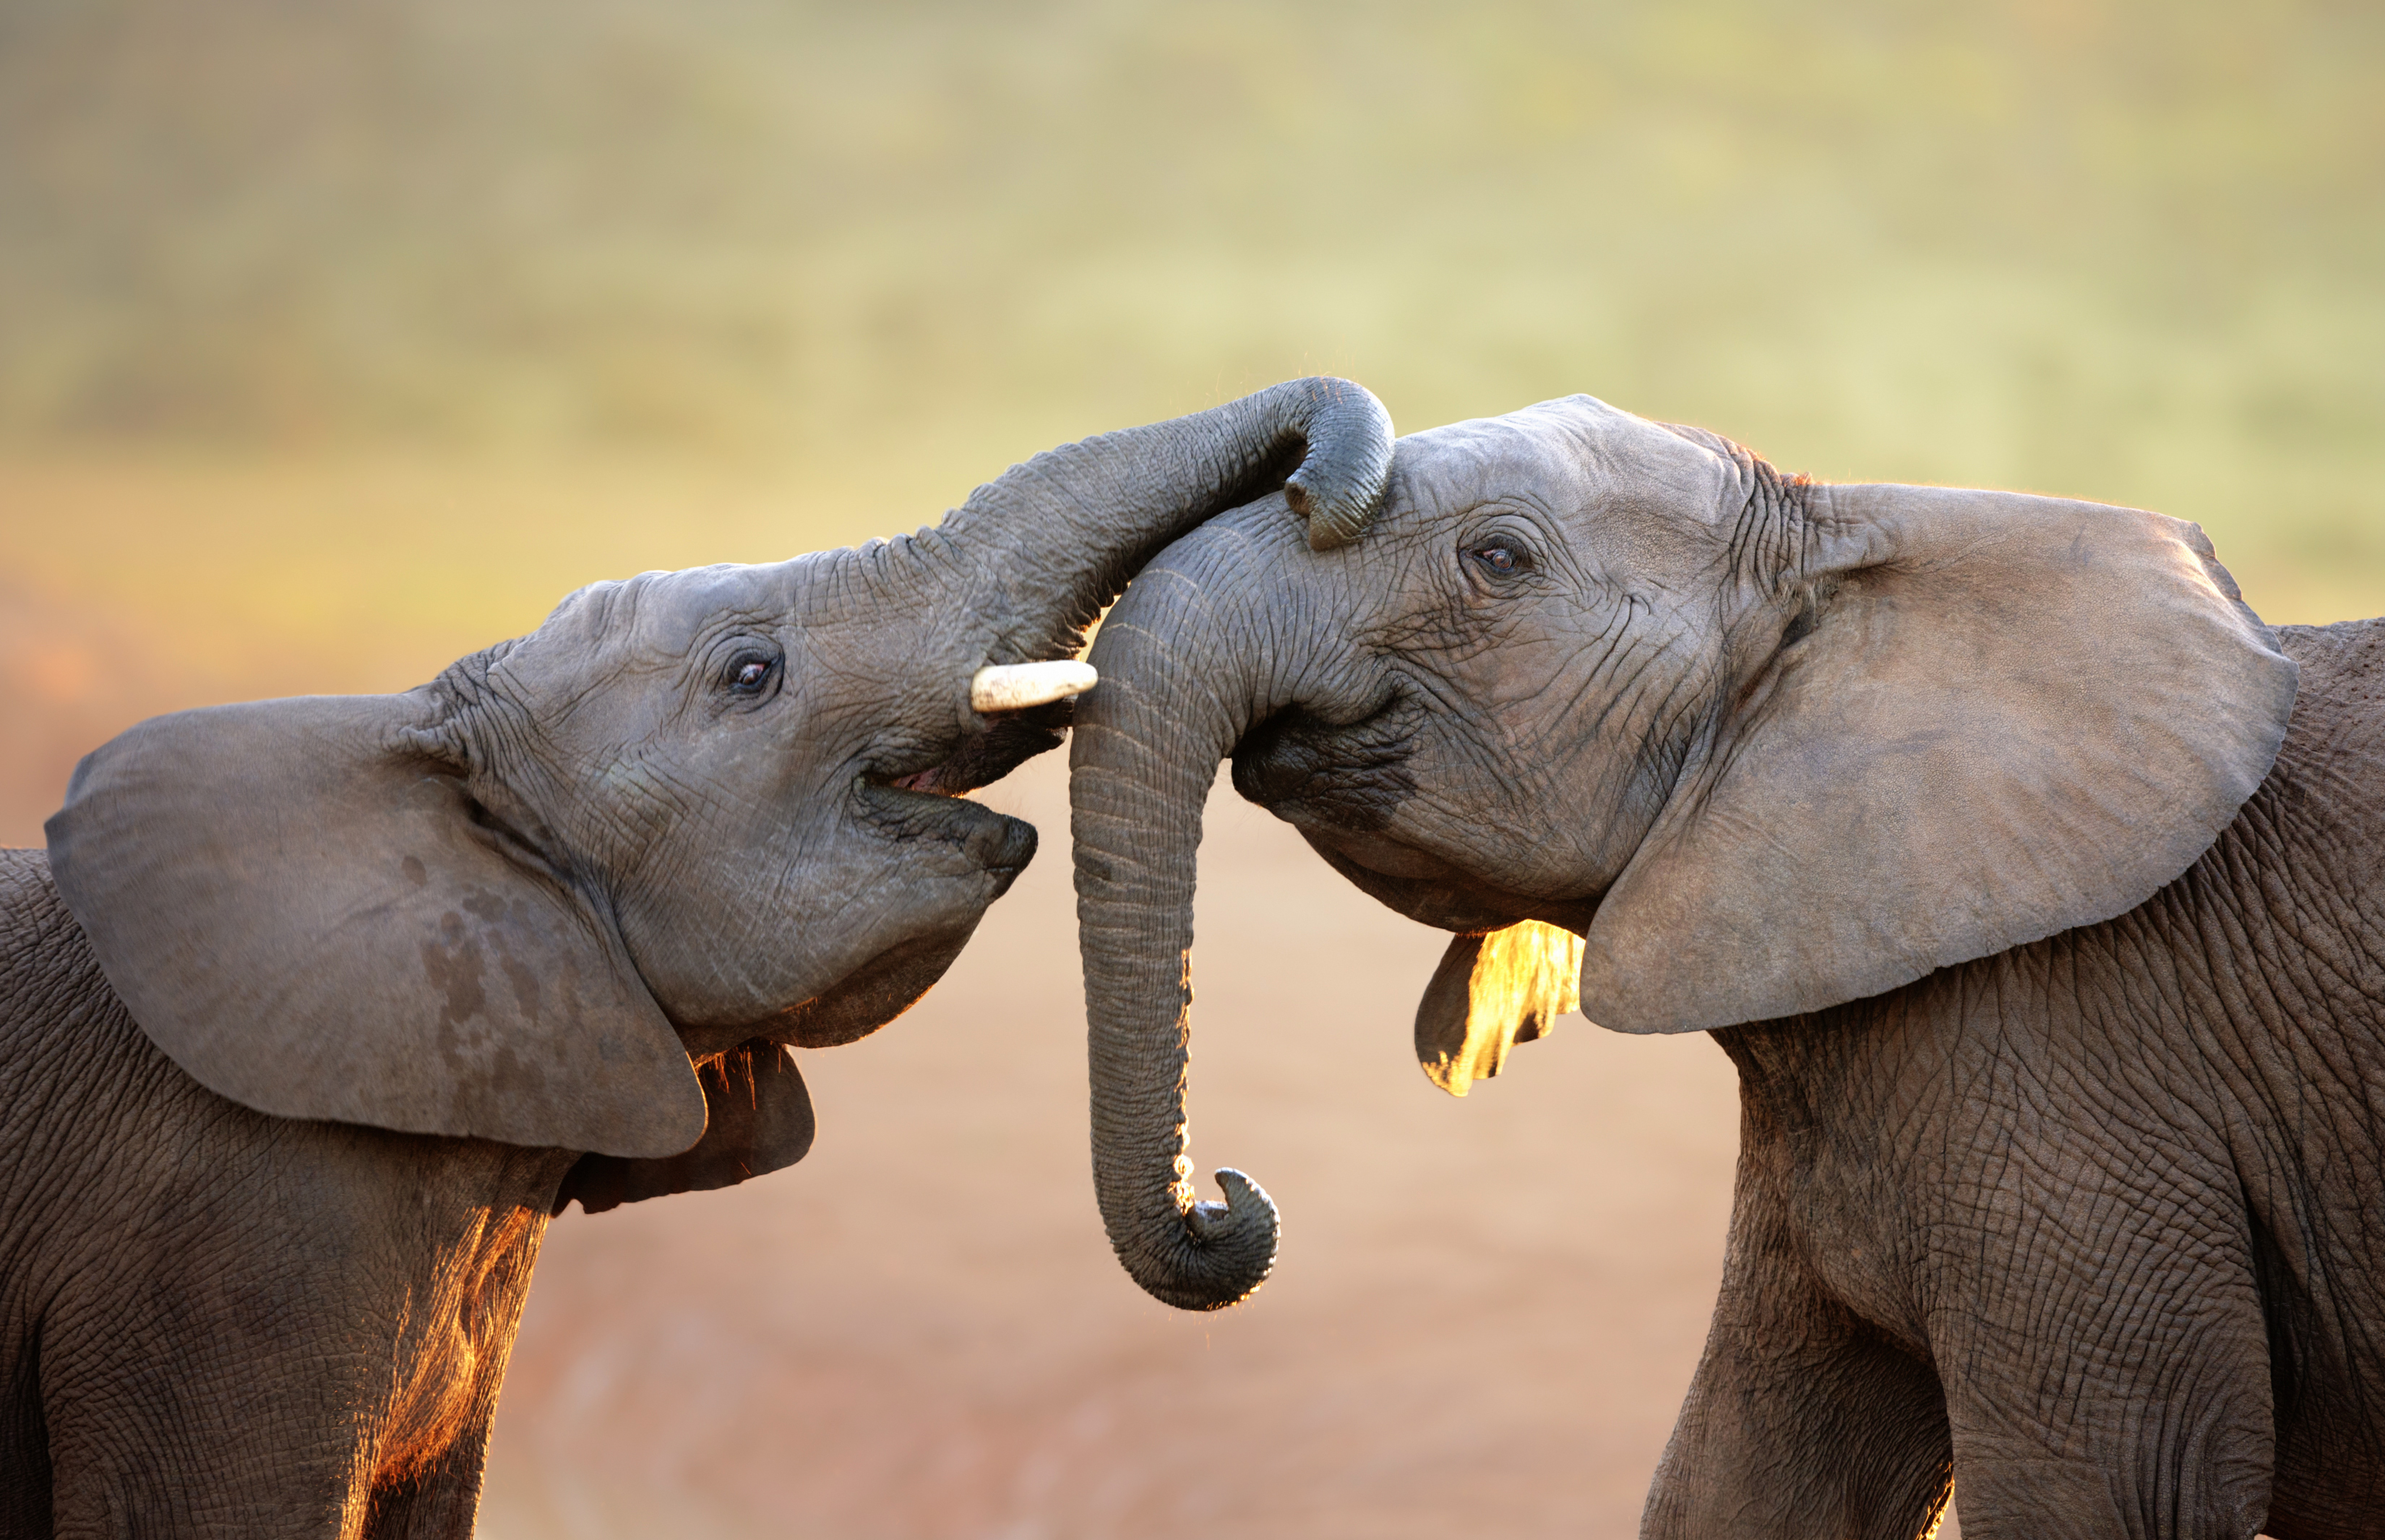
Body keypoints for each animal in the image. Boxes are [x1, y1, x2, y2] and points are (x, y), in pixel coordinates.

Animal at [1068, 396, 2385, 1540]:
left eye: (1498, 558)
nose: (1224, 1200)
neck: (1848, 540)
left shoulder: (2084, 1064)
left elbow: (2111, 1493)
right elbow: (1746, 1479)